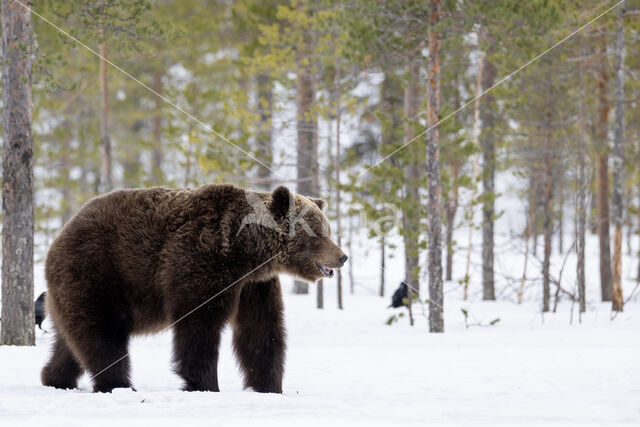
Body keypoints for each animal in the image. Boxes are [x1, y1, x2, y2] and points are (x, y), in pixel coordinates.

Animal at [42, 186, 348, 392]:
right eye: (318, 233)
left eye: (328, 230)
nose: (342, 257)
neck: (247, 252)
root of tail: (58, 237)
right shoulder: (201, 261)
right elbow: (200, 326)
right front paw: (204, 383)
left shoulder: (254, 285)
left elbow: (261, 330)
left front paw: (269, 385)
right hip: (97, 272)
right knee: (103, 333)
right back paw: (118, 384)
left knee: (70, 341)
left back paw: (55, 377)